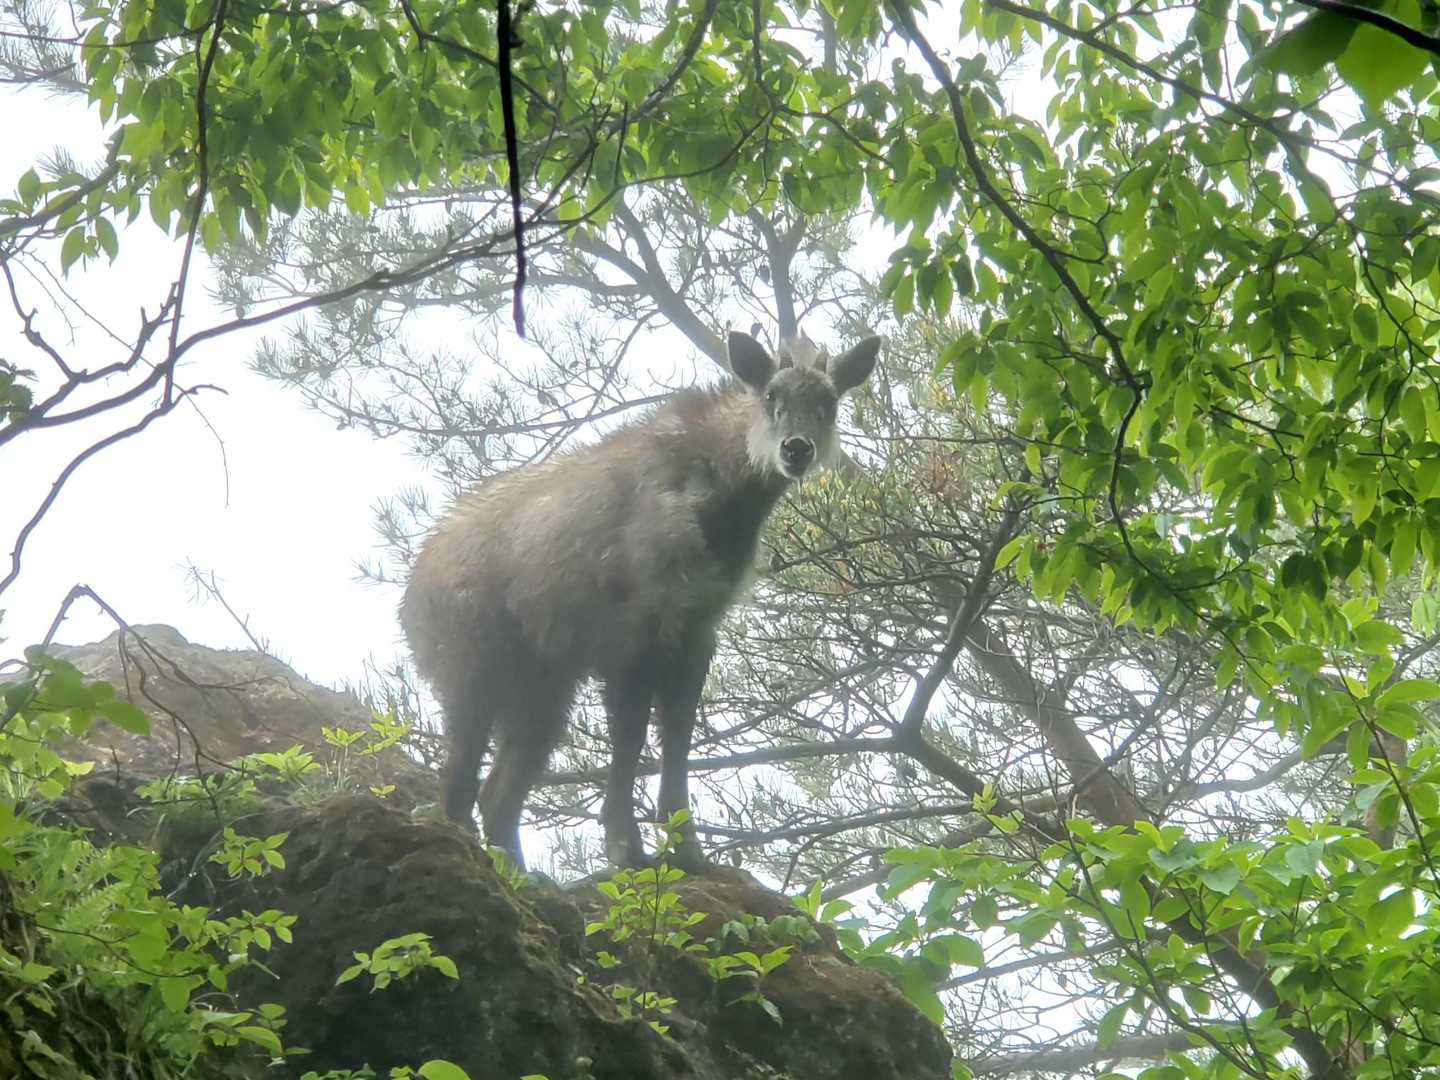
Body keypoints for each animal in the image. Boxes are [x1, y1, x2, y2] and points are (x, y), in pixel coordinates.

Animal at [400, 330, 881, 867]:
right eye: (771, 395)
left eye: (828, 402)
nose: (796, 449)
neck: (721, 500)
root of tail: (410, 593)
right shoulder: (634, 634)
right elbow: (629, 741)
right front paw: (624, 845)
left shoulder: (696, 630)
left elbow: (677, 739)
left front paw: (685, 847)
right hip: (473, 676)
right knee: (458, 787)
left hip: (543, 695)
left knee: (498, 795)